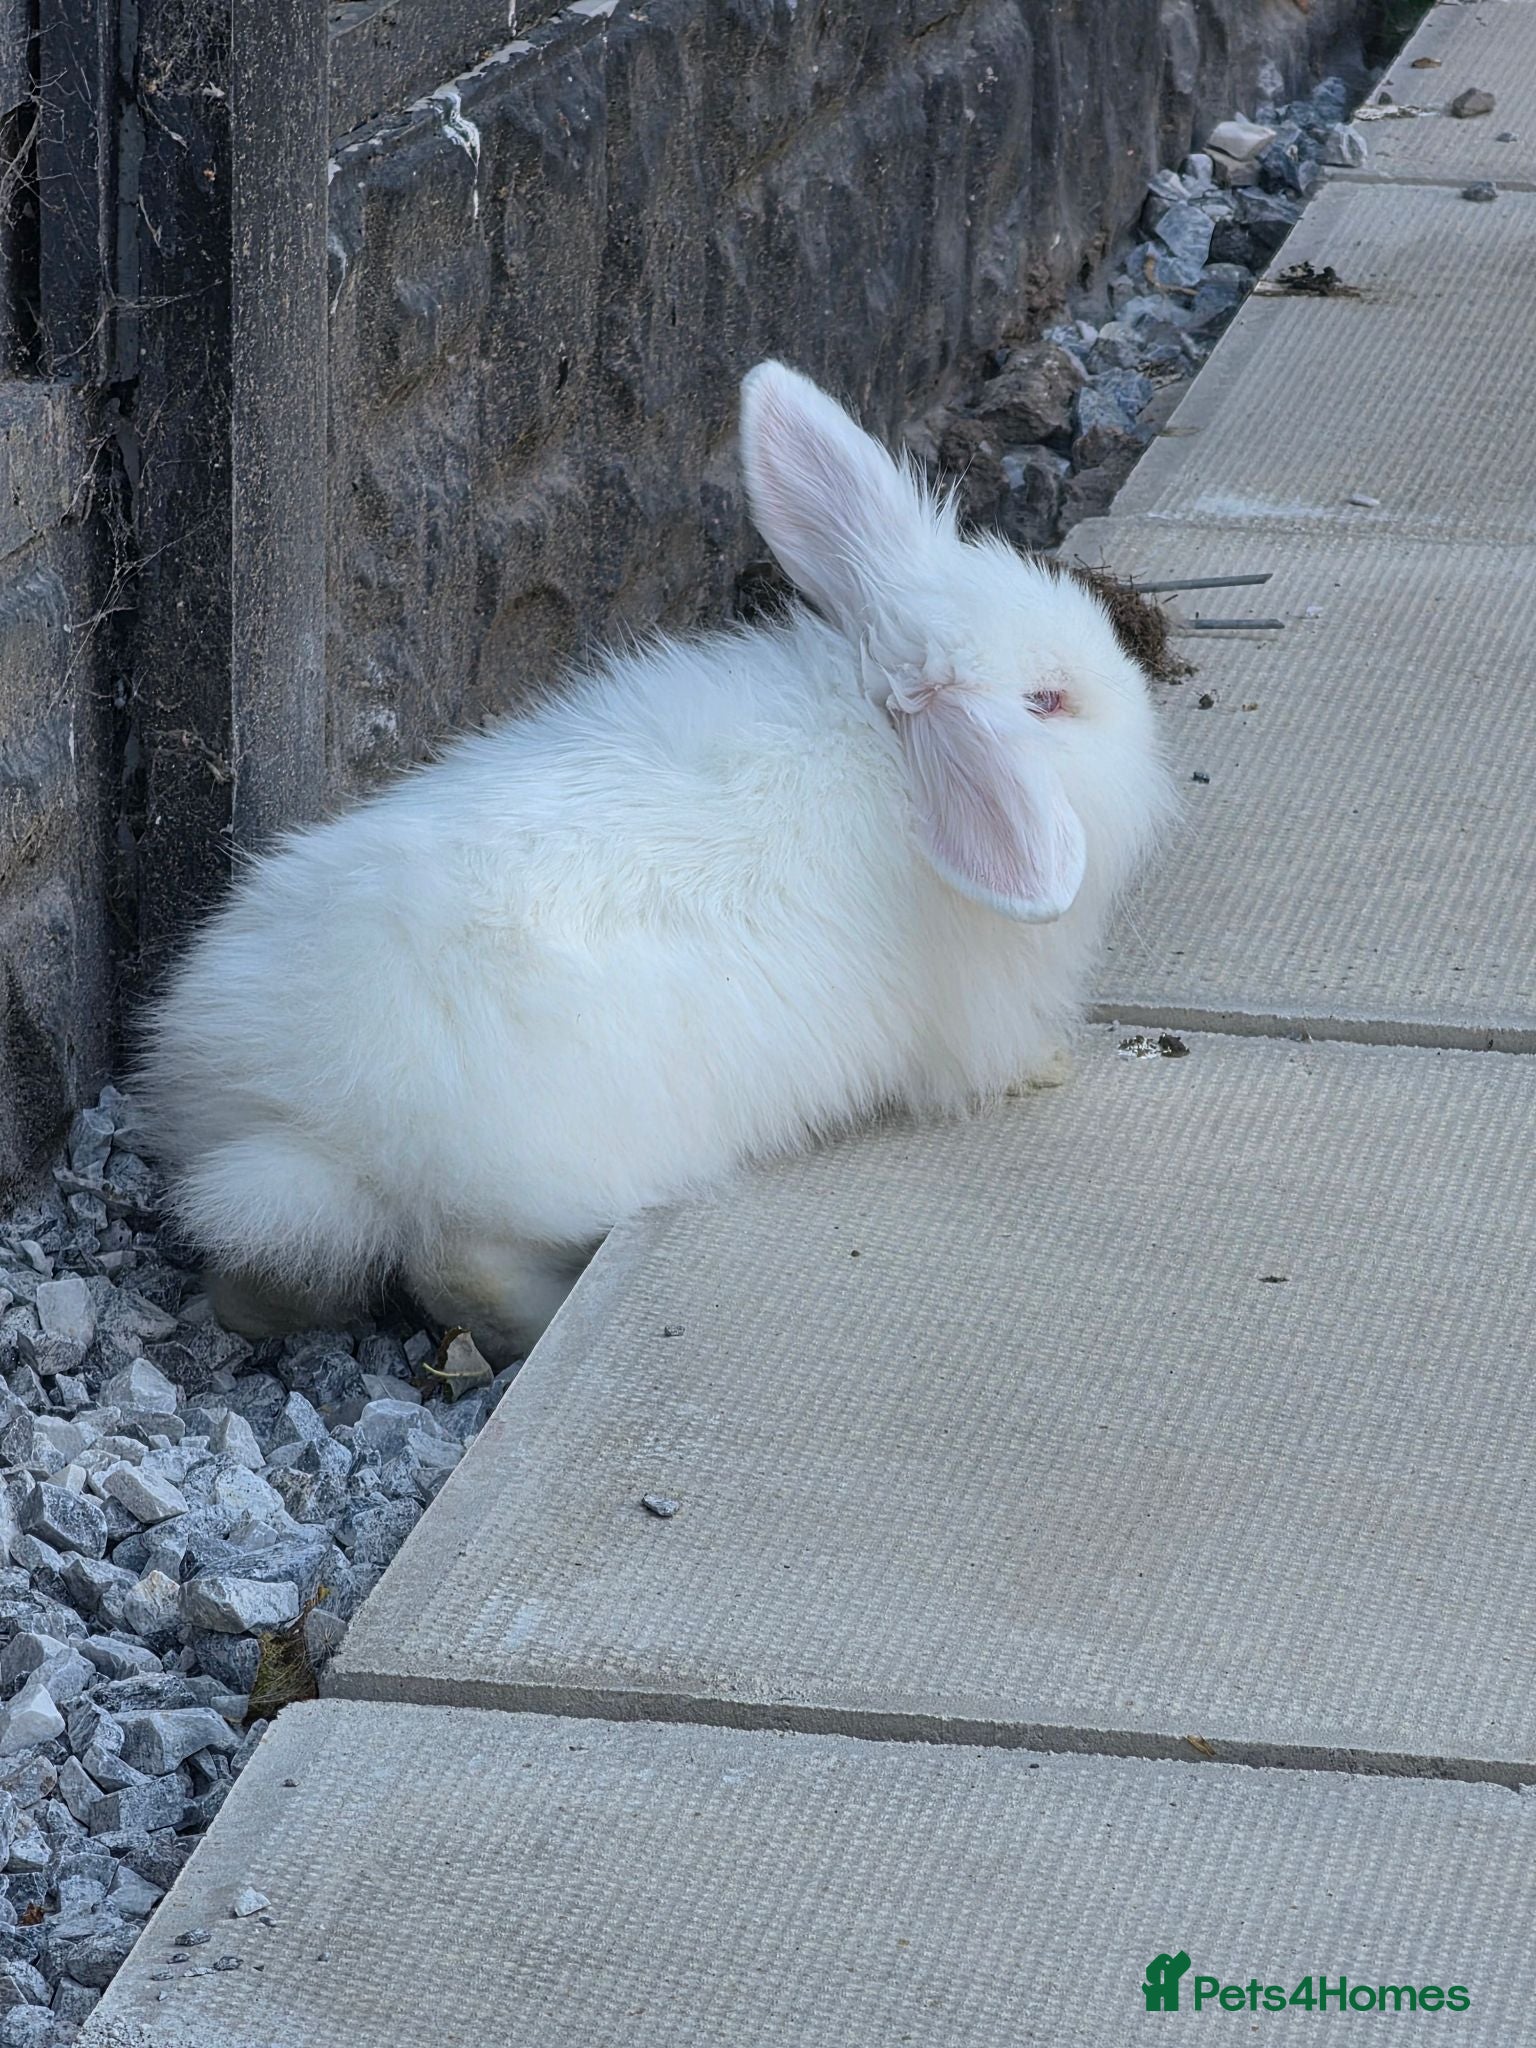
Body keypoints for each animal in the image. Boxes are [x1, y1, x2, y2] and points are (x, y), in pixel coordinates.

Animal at [137, 361, 1174, 1366]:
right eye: (1048, 702)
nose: (1136, 697)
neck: (887, 742)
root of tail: (314, 1126)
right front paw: (1049, 1068)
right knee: (458, 1266)